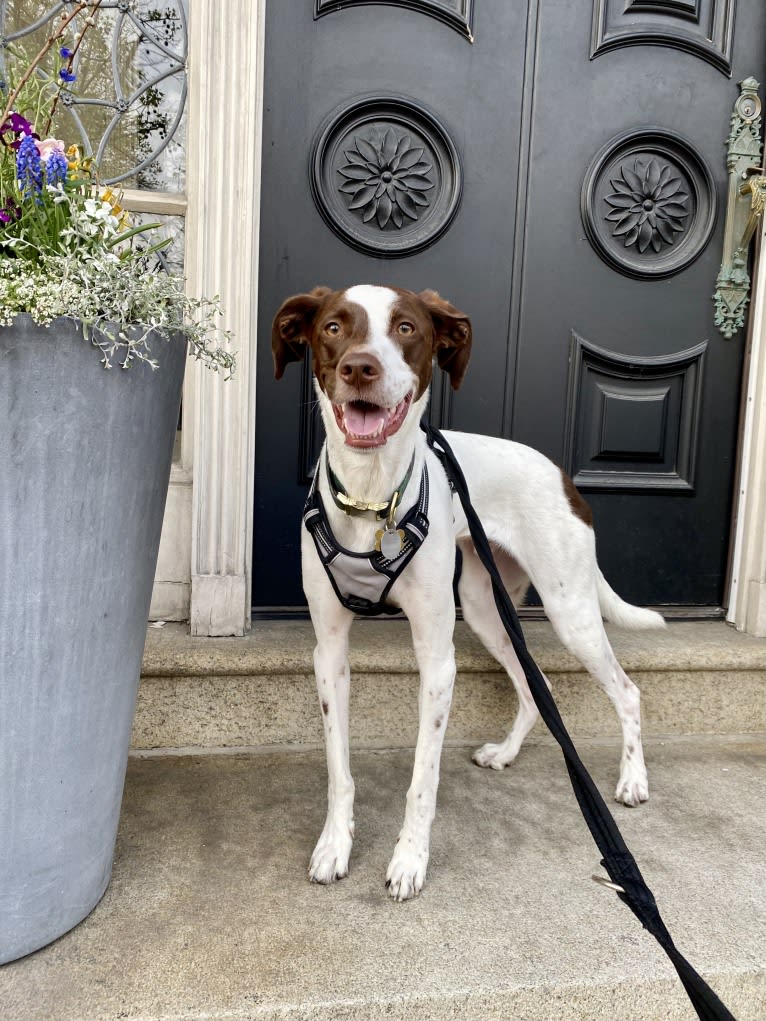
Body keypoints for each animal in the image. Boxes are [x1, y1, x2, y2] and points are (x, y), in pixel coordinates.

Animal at [271, 283, 665, 898]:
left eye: (406, 328)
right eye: (334, 327)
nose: (361, 367)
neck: (371, 496)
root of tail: (563, 474)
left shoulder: (438, 658)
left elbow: (423, 779)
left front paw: (410, 860)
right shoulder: (328, 652)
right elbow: (339, 769)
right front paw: (335, 845)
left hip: (570, 610)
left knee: (626, 691)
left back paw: (632, 781)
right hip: (485, 608)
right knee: (532, 685)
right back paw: (505, 753)